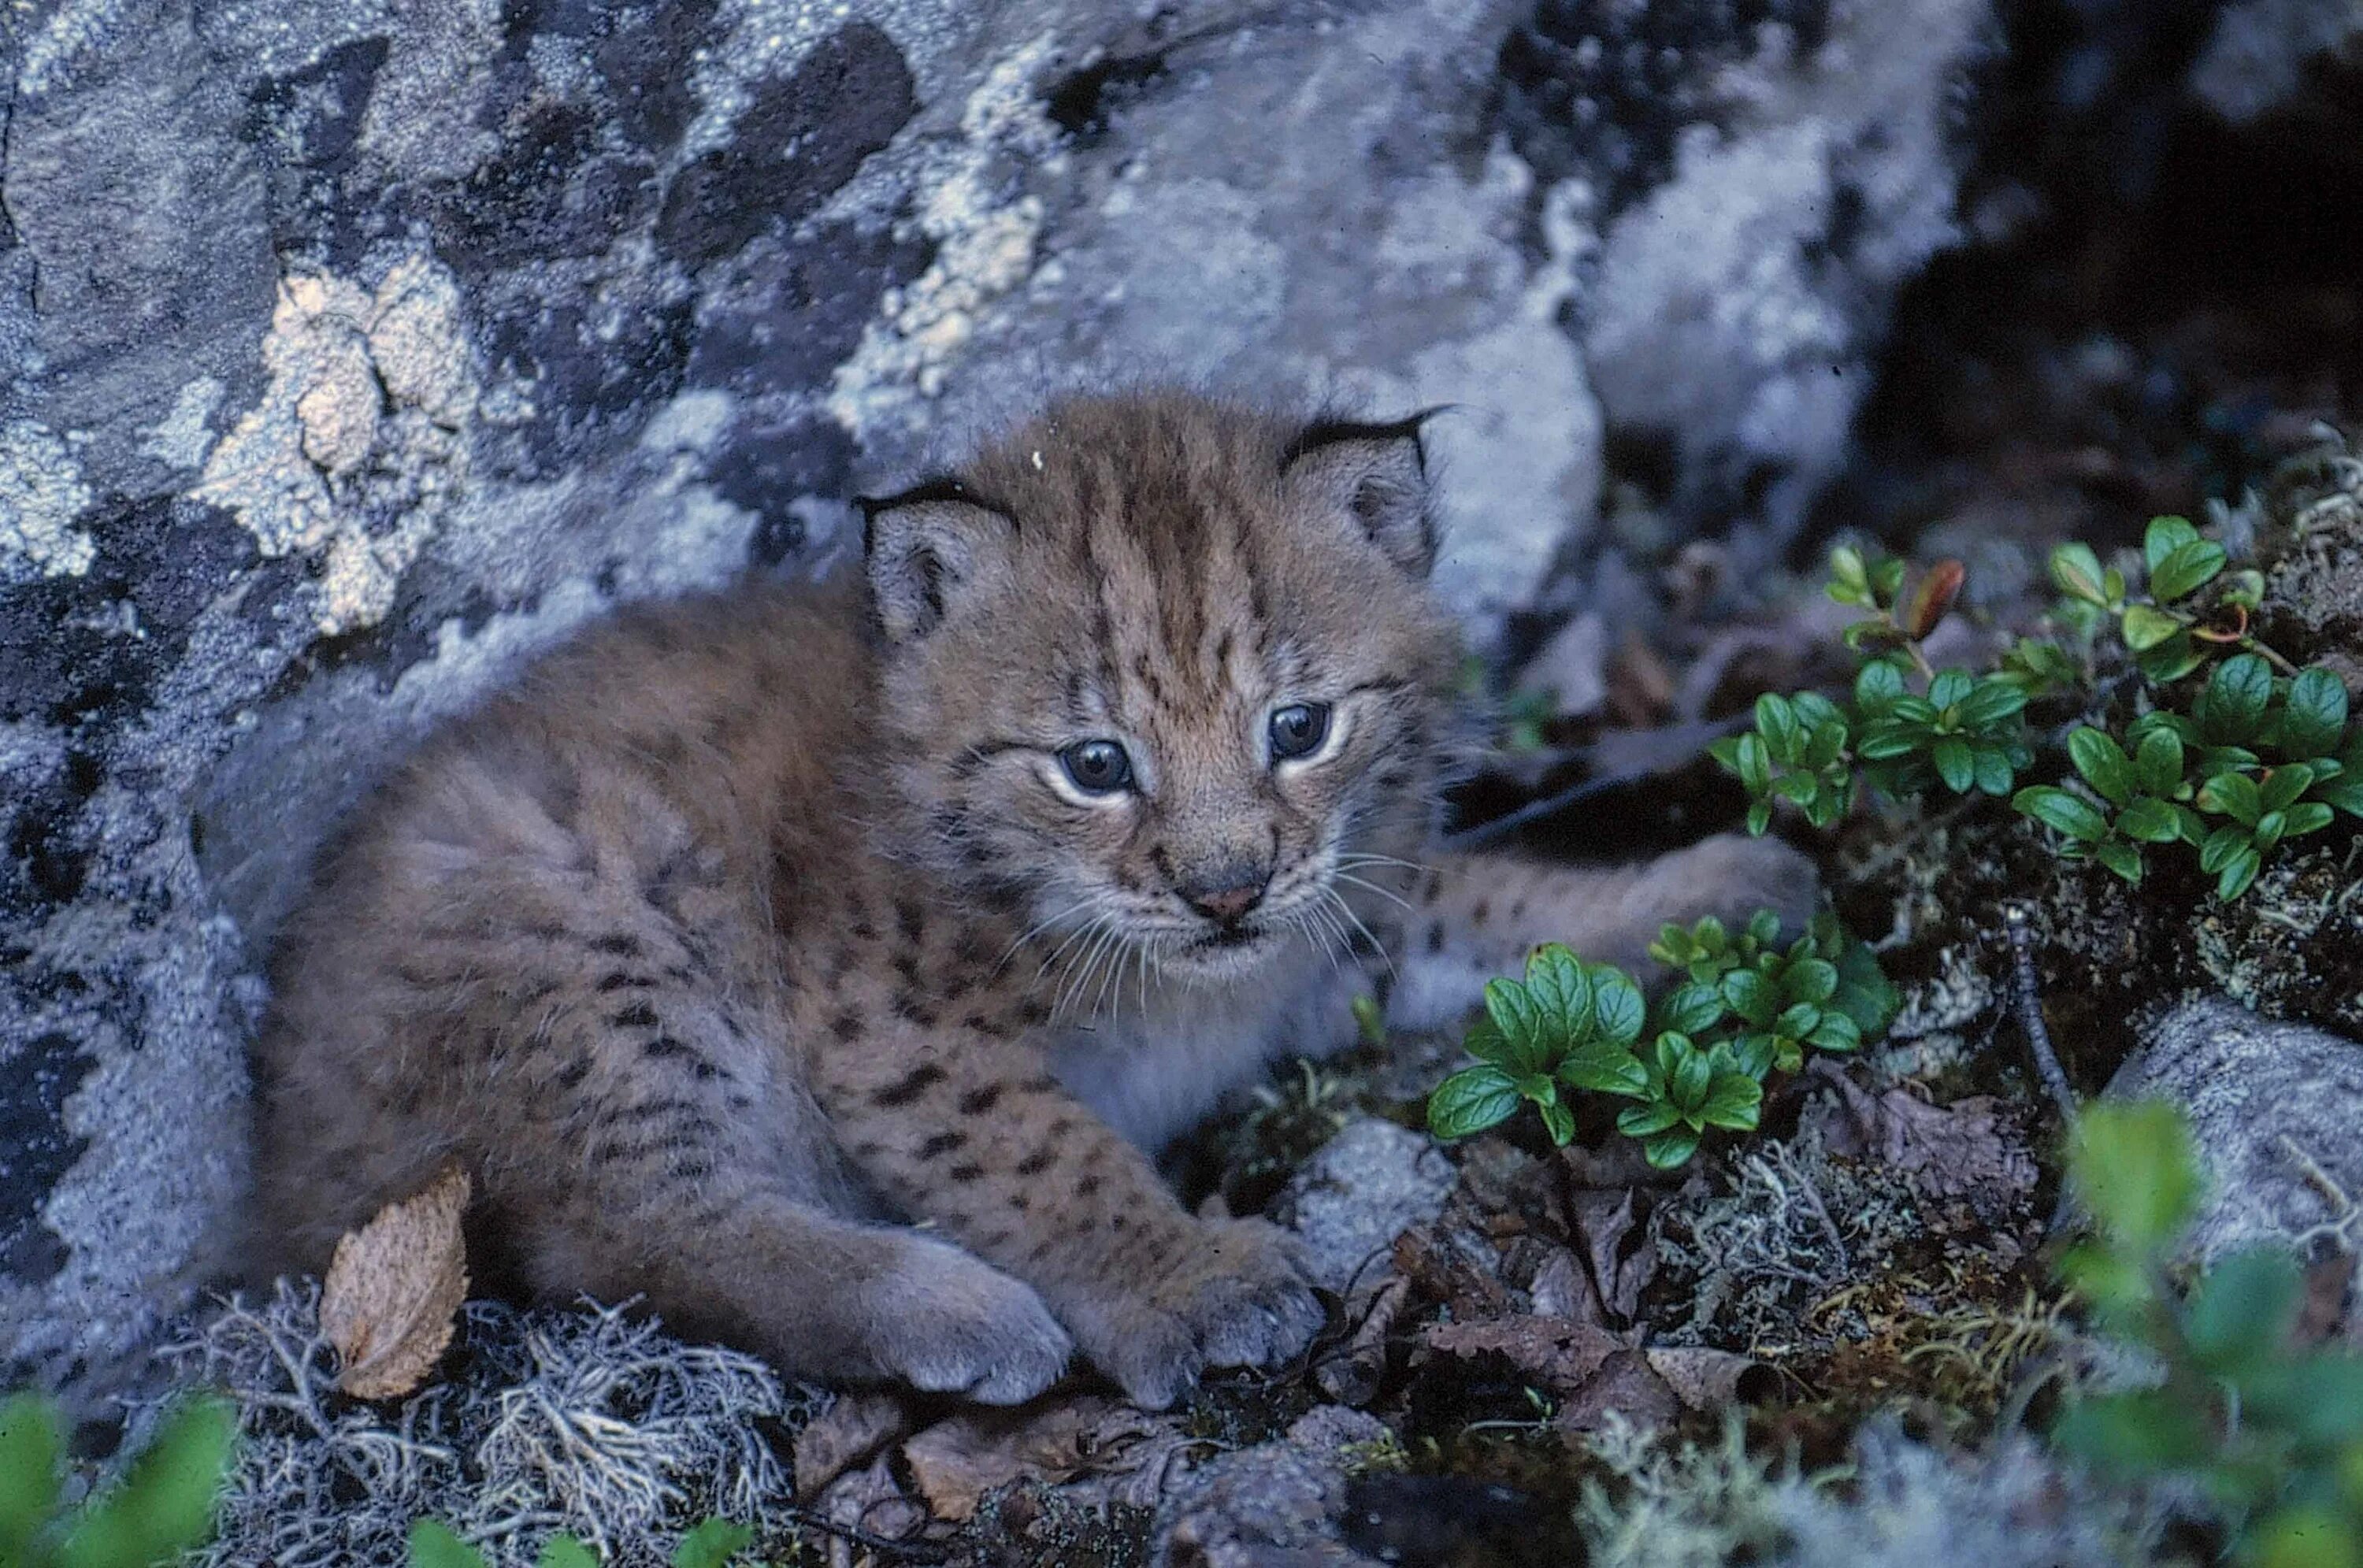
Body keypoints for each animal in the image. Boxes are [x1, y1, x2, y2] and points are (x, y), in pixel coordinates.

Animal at [254, 391, 1805, 1407]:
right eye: (1095, 766)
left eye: (1298, 729)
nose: (1227, 889)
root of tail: (274, 1114)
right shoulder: (892, 1030)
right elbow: (1042, 1153)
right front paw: (1184, 1277)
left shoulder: (1328, 910)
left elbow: (1480, 905)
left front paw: (1689, 902)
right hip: (596, 930)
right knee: (629, 1229)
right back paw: (953, 1301)